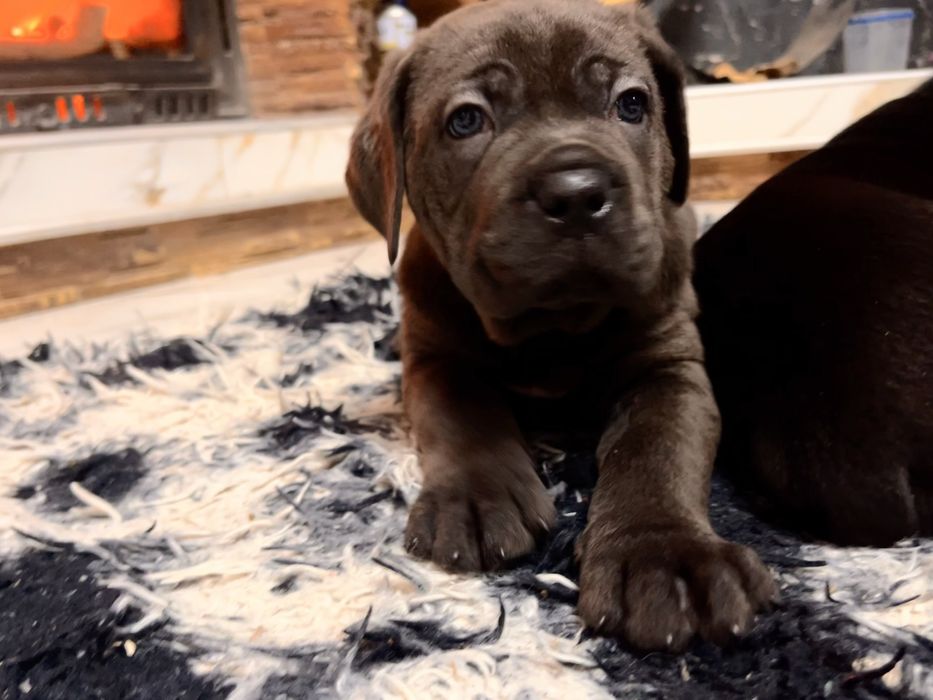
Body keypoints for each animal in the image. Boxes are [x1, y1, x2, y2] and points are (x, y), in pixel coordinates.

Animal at [346, 0, 777, 651]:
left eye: (631, 104)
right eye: (466, 120)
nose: (576, 192)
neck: (552, 327)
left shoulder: (670, 367)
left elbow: (656, 450)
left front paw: (664, 553)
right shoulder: (436, 361)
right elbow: (460, 418)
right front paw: (476, 497)